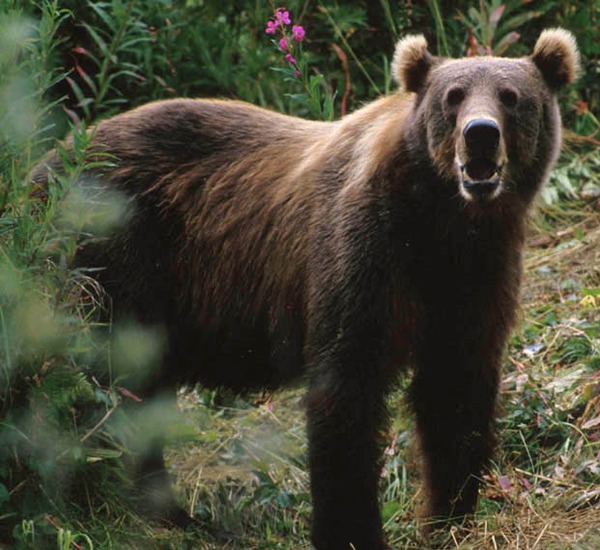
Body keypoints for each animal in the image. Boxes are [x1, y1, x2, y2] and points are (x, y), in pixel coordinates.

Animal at [30, 28, 580, 550]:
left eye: (511, 96)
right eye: (454, 95)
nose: (480, 135)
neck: (441, 222)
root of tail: (47, 163)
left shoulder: (475, 276)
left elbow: (455, 388)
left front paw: (450, 516)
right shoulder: (363, 253)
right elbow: (346, 390)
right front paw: (353, 529)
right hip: (113, 255)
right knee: (108, 381)